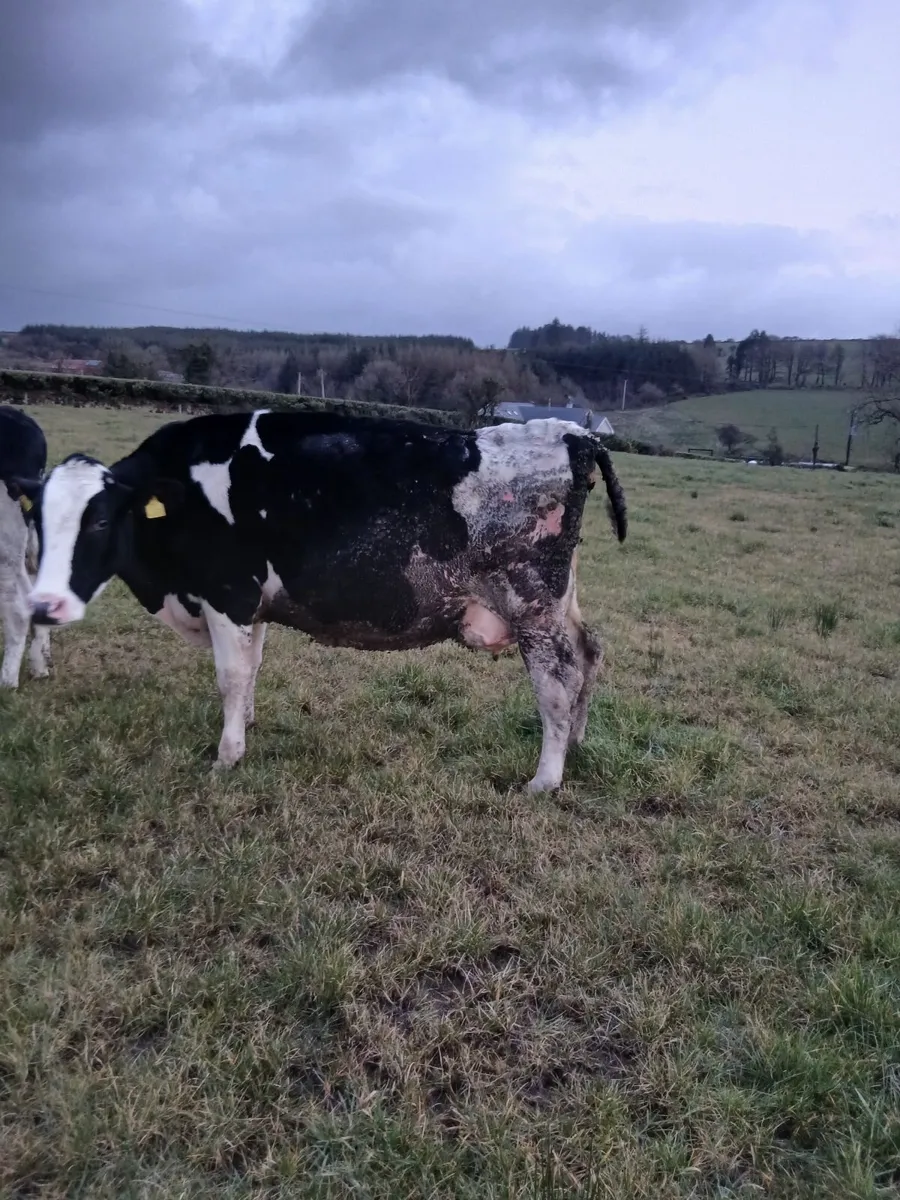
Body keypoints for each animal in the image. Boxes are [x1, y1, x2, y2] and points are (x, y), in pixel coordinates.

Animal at [19, 410, 626, 792]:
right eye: (38, 521)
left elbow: (230, 676)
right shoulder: (255, 603)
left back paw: (545, 778)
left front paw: (226, 756)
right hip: (560, 603)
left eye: (98, 521)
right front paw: (247, 726)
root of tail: (574, 435)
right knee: (590, 653)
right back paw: (577, 743)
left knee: (557, 682)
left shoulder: (228, 593)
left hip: (533, 607)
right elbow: (253, 667)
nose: (44, 605)